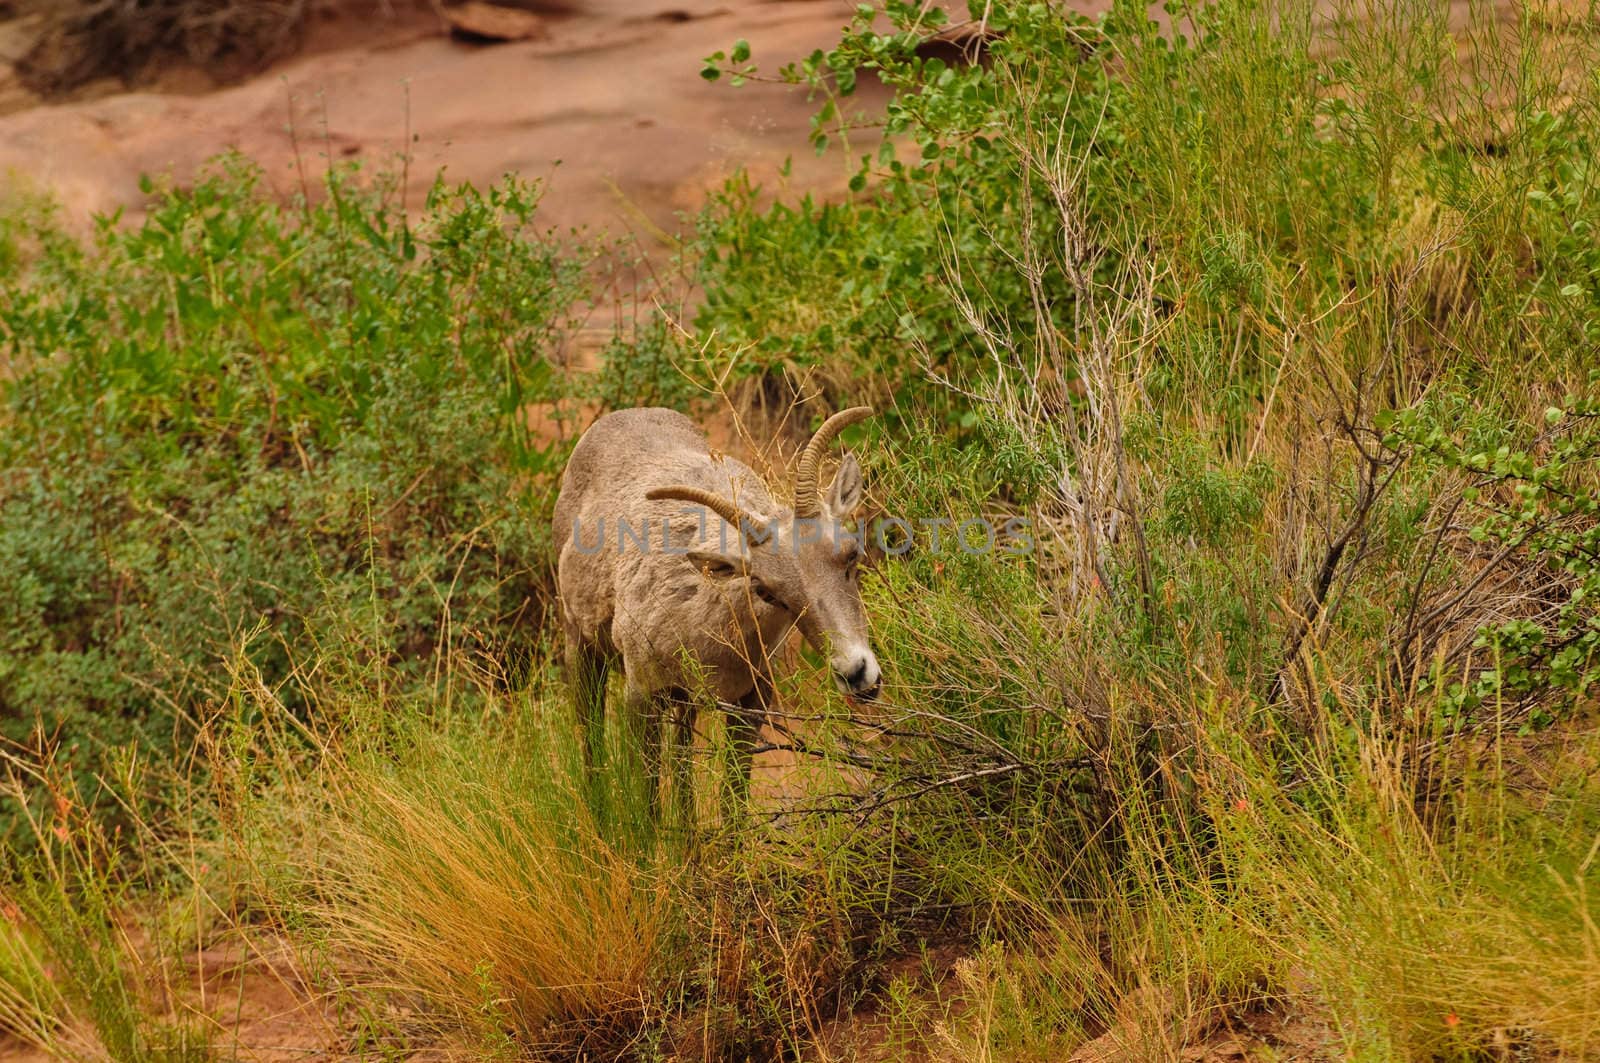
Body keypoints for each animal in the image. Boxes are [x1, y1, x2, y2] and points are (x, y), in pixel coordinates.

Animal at [550, 406, 876, 813]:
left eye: (850, 554)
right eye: (769, 591)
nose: (855, 674)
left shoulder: (749, 702)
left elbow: (732, 805)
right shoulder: (641, 697)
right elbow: (649, 807)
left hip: (684, 703)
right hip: (580, 648)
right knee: (590, 741)